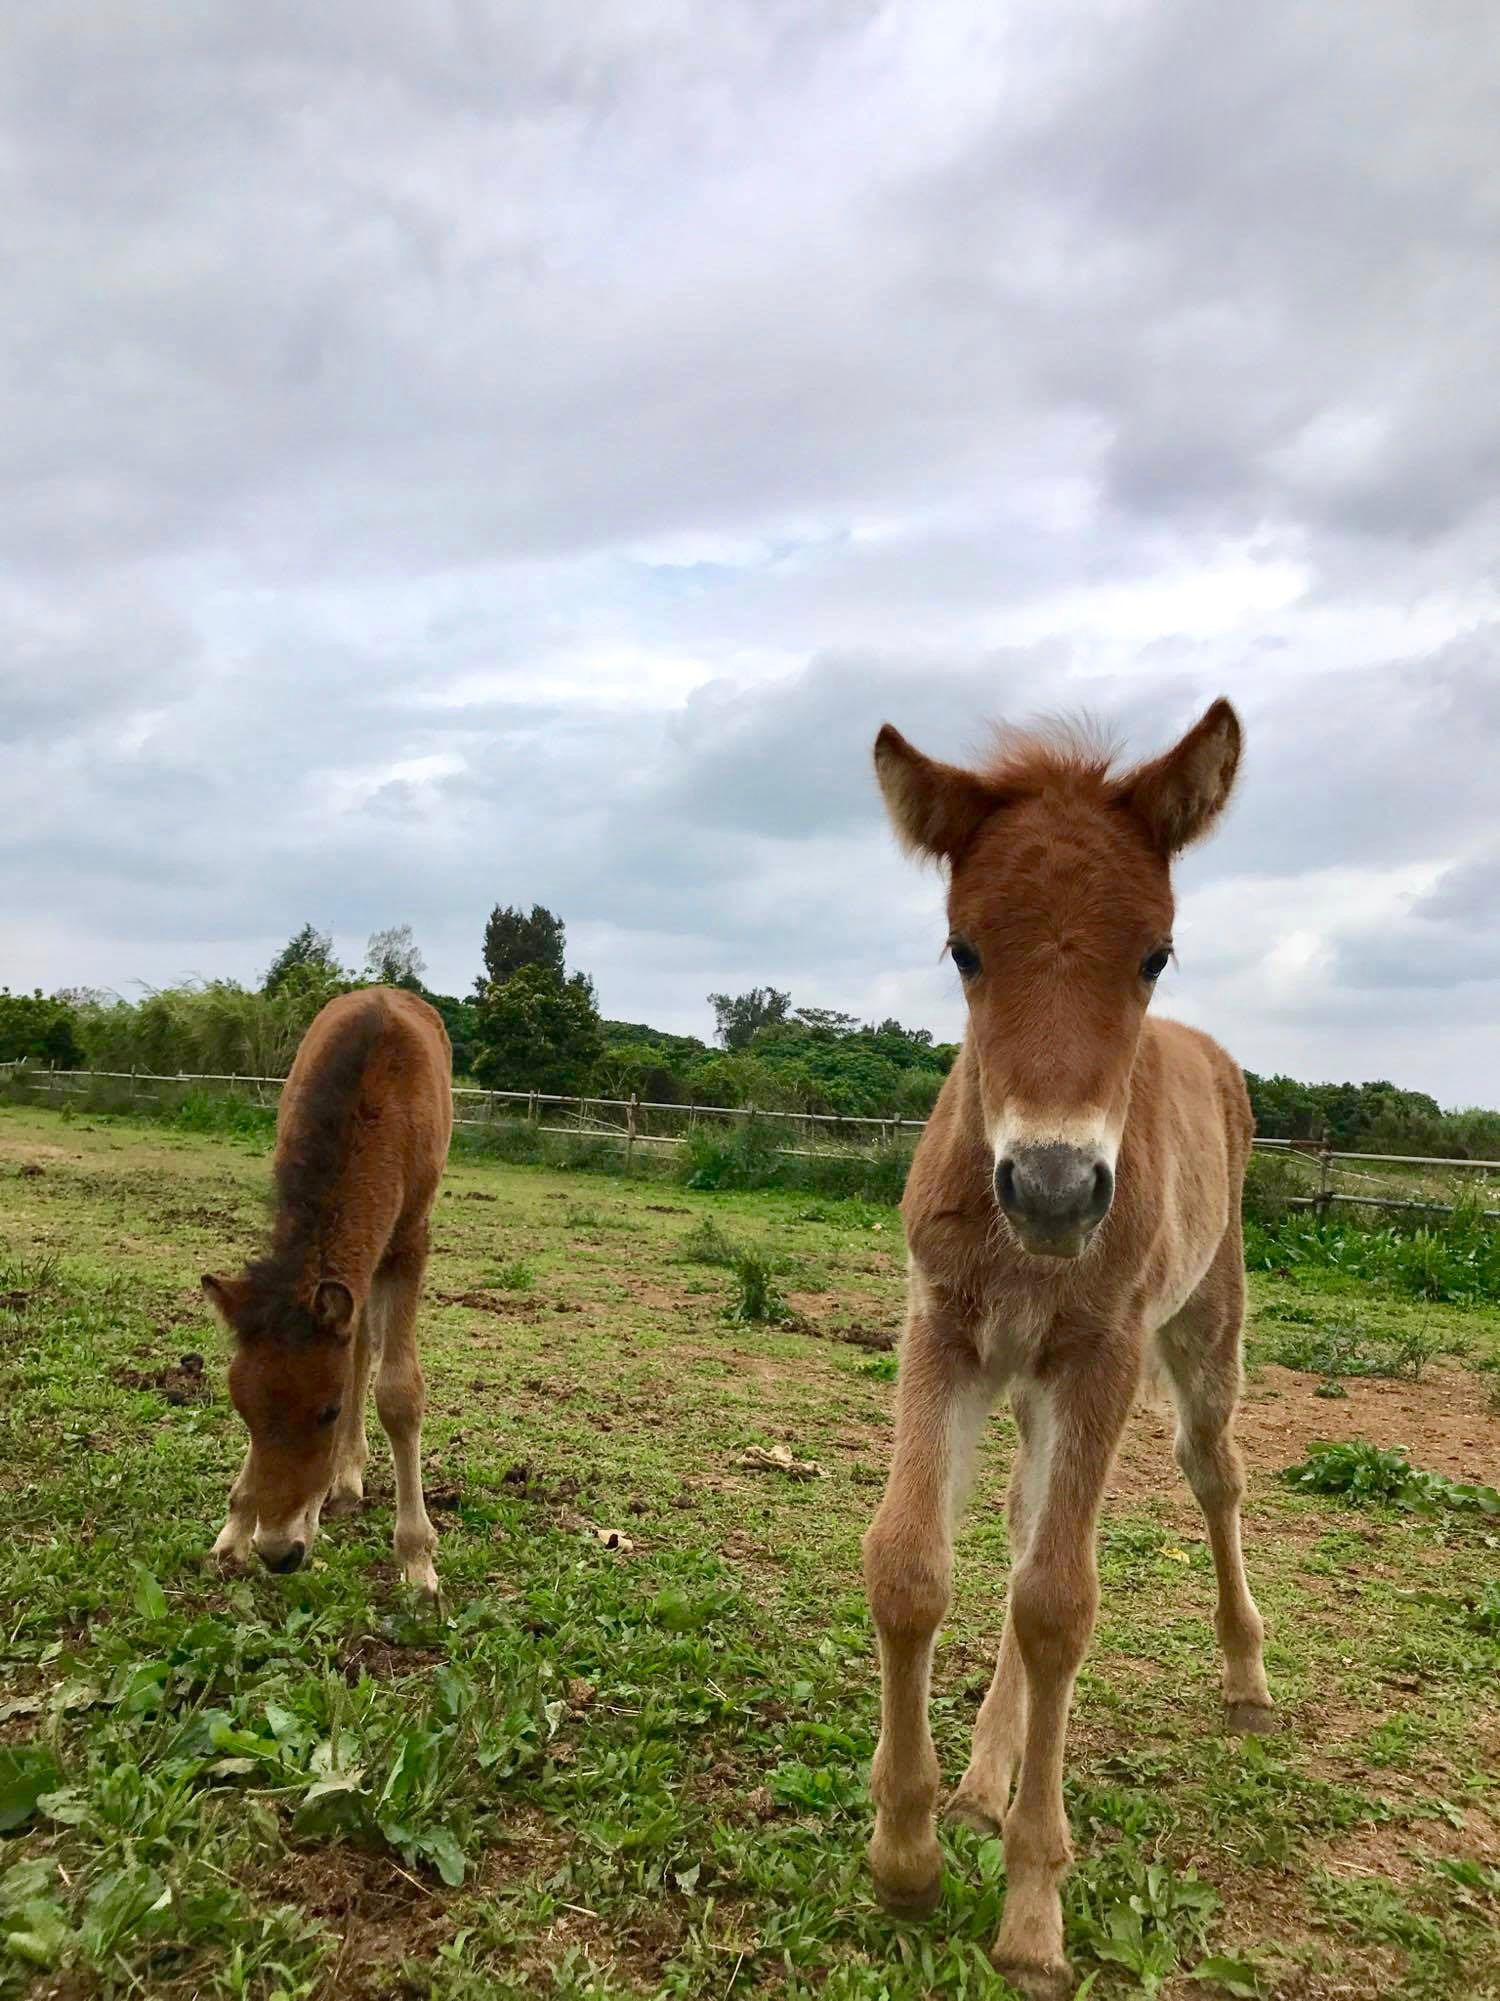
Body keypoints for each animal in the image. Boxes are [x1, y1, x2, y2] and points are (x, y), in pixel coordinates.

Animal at [203, 984, 456, 1592]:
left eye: (328, 1411)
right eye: (244, 1413)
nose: (279, 1552)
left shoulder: (409, 1242)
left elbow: (399, 1393)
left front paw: (418, 1559)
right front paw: (235, 1529)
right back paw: (342, 1479)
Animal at [864, 696, 1272, 1992]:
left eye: (1153, 953)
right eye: (964, 949)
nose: (1052, 1188)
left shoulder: (1102, 1355)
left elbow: (1059, 1607)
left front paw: (1034, 1911)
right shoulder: (943, 1329)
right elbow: (911, 1566)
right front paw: (908, 1853)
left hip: (1200, 1330)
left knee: (1212, 1476)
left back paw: (1246, 1677)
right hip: (1030, 1382)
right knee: (1015, 1529)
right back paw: (981, 1780)